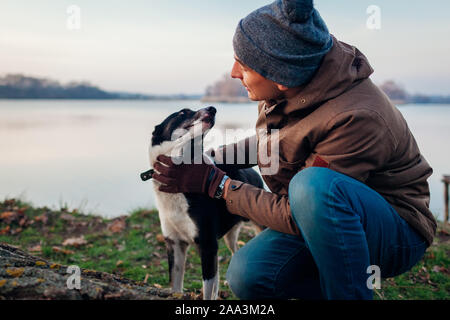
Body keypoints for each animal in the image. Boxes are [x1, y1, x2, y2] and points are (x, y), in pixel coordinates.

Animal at [142, 106, 264, 298]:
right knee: (232, 253)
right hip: (229, 236)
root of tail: (253, 172)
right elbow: (176, 286)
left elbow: (207, 290)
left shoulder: (207, 245)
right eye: (183, 112)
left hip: (258, 226)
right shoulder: (175, 244)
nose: (212, 108)